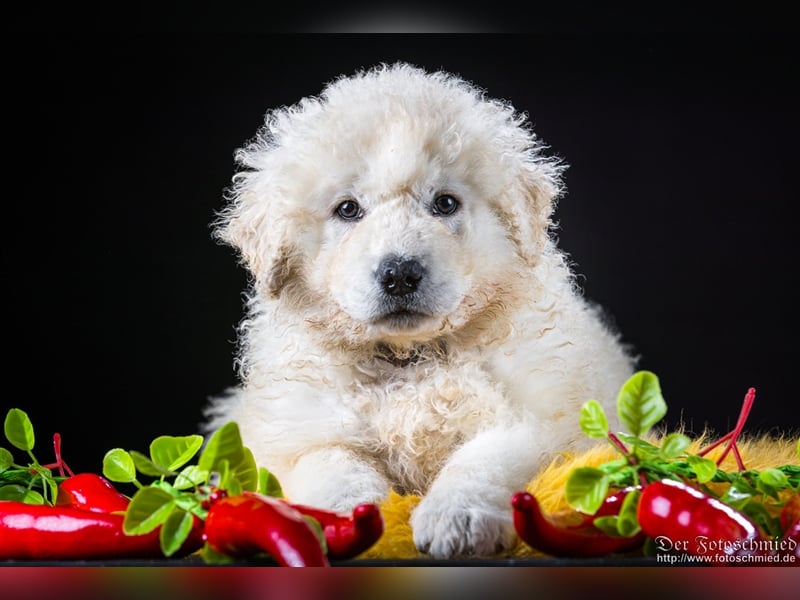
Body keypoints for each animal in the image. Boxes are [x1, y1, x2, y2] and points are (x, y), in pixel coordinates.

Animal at [206, 61, 636, 556]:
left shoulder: (544, 419)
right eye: (348, 209)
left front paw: (457, 518)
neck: (409, 360)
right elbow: (332, 464)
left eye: (445, 203)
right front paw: (345, 517)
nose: (399, 274)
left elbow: (486, 458)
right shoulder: (297, 431)